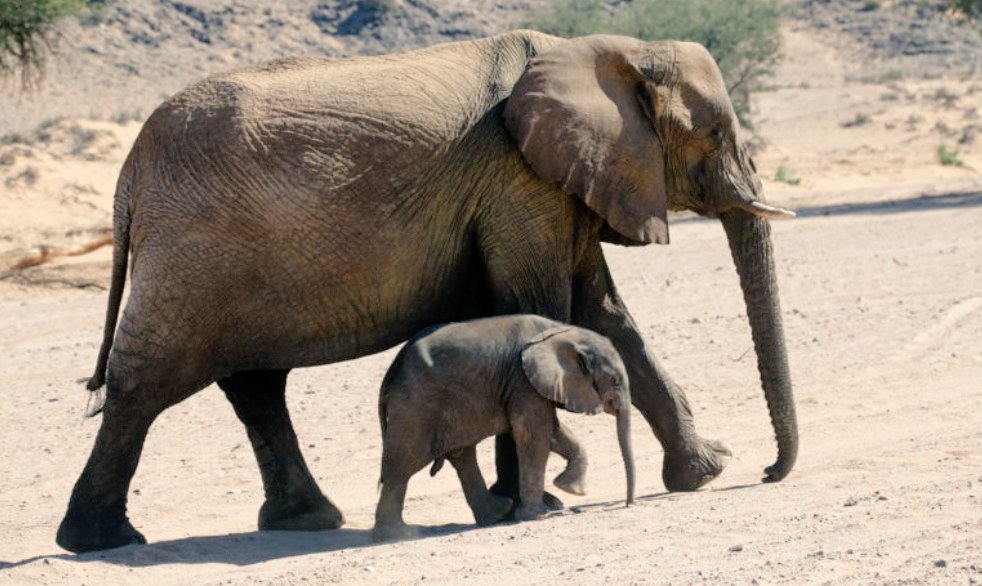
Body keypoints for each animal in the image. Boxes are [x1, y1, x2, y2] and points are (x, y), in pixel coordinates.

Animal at [372, 315, 635, 542]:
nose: (628, 504)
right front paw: (539, 514)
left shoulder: (531, 384)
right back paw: (399, 535)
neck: (563, 331)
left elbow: (551, 432)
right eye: (615, 381)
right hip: (415, 406)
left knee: (461, 454)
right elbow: (533, 435)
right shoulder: (523, 379)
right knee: (403, 463)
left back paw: (497, 514)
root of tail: (389, 375)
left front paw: (569, 488)